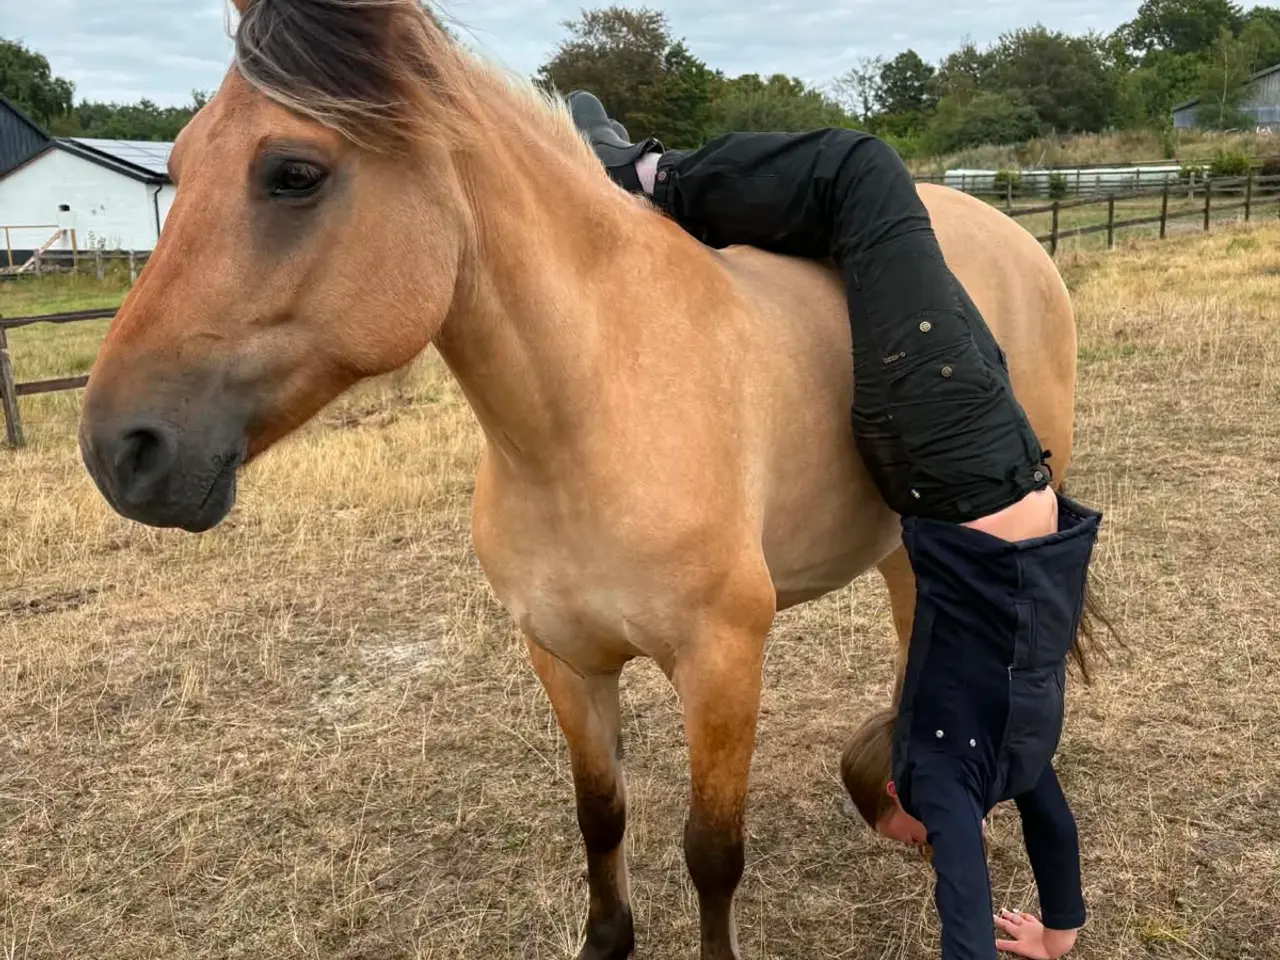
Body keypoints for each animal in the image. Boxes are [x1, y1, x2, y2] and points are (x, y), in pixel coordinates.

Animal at [76, 2, 1086, 957]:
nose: (119, 450)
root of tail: (1010, 234)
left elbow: (712, 852)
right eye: (177, 165)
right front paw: (607, 940)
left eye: (293, 173)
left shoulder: (723, 664)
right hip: (901, 548)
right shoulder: (562, 658)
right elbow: (600, 813)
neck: (593, 411)